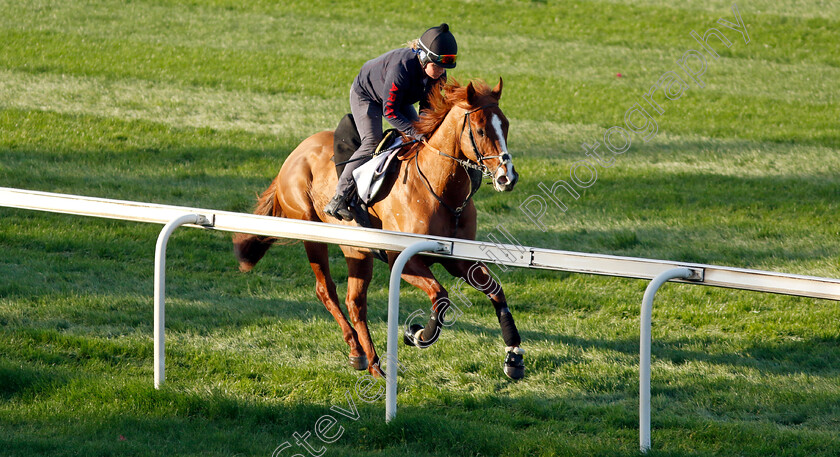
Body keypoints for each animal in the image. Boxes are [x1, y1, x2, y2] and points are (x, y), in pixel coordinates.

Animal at [233, 78, 524, 378]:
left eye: (506, 125)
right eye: (480, 129)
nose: (507, 177)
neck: (440, 188)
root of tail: (293, 154)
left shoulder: (457, 257)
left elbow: (495, 290)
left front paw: (513, 357)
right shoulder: (403, 259)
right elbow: (440, 295)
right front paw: (417, 334)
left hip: (357, 251)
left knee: (355, 302)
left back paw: (369, 360)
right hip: (312, 234)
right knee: (326, 290)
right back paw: (359, 351)